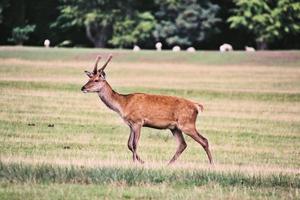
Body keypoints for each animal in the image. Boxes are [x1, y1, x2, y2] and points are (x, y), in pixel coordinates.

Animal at [81, 54, 213, 164]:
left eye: (96, 80)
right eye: (89, 79)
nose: (83, 88)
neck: (123, 104)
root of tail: (196, 106)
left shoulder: (138, 121)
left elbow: (134, 144)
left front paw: (134, 162)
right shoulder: (130, 124)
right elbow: (129, 144)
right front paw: (142, 161)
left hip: (187, 124)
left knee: (204, 140)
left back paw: (211, 164)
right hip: (175, 127)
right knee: (183, 144)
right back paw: (168, 164)